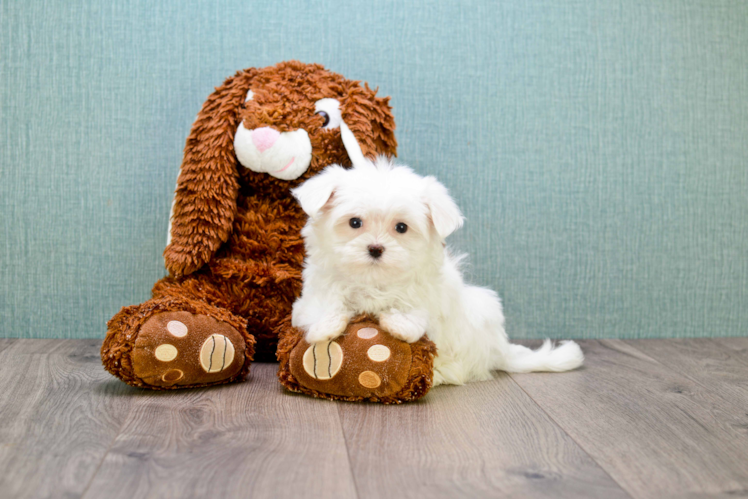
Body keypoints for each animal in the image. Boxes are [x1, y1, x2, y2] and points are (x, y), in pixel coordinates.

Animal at [290, 156, 580, 386]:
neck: (374, 281)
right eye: (354, 222)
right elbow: (321, 305)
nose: (375, 248)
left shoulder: (429, 294)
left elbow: (418, 312)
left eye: (401, 227)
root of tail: (497, 349)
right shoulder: (315, 290)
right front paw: (324, 327)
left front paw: (398, 321)